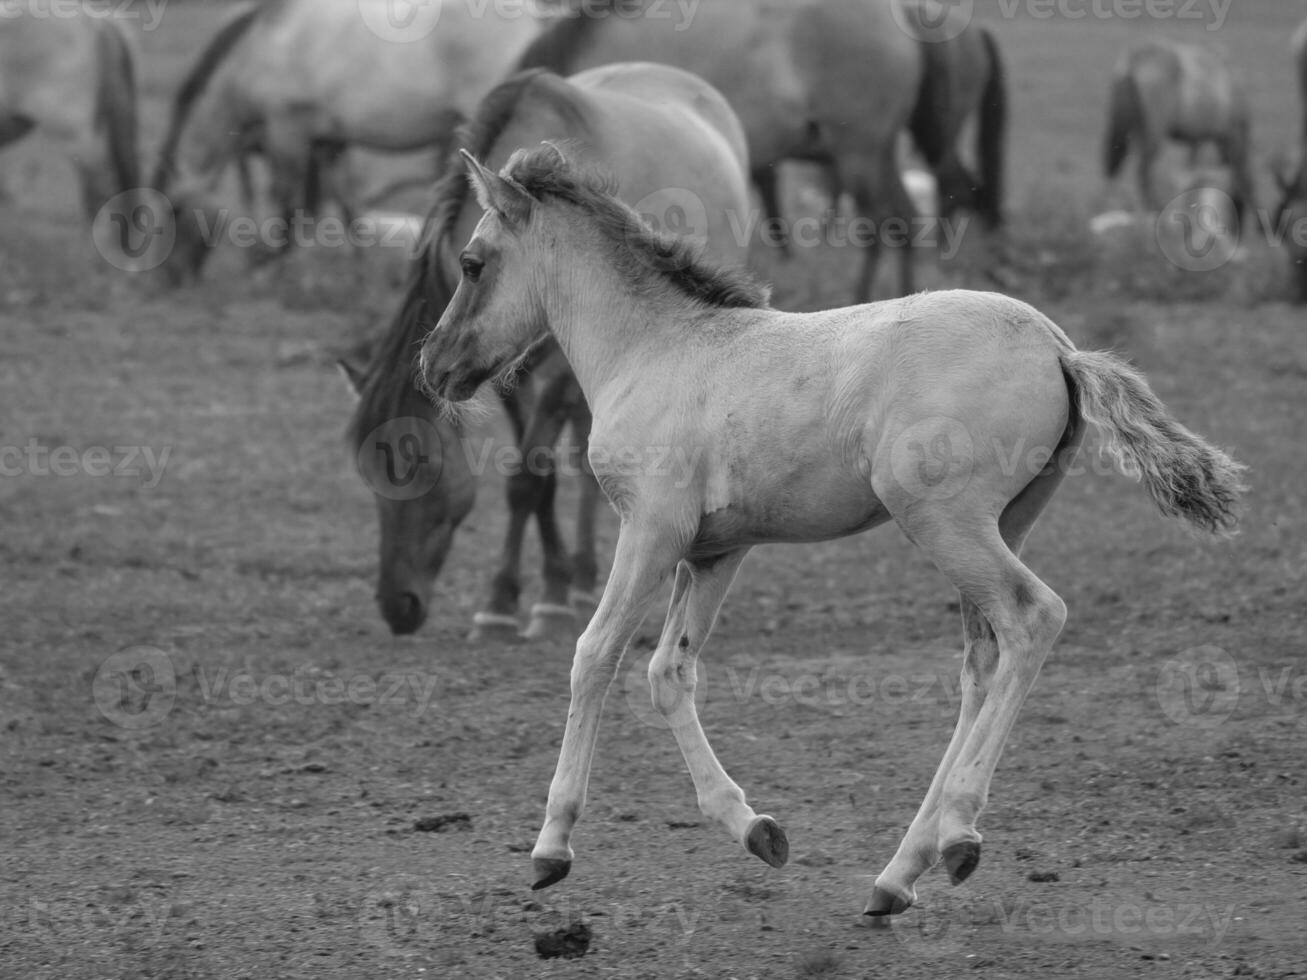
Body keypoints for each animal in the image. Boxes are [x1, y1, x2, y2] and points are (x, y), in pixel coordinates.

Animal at [415, 145, 1244, 919]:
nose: (432, 365)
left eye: (471, 262)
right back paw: (897, 875)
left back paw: (959, 833)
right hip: (1003, 523)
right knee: (982, 664)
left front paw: (551, 847)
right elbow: (668, 672)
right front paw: (755, 830)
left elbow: (593, 655)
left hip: (944, 522)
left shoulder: (650, 530)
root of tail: (1057, 346)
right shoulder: (714, 551)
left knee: (1033, 618)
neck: (654, 349)